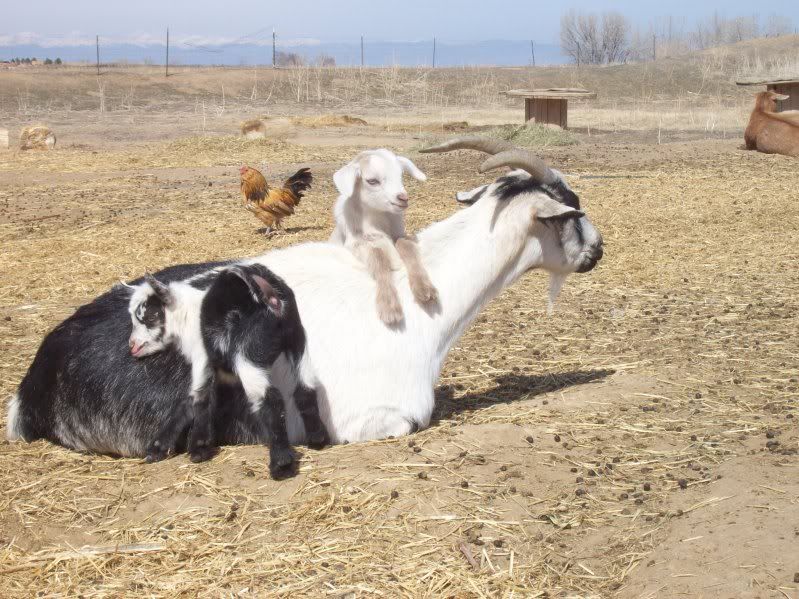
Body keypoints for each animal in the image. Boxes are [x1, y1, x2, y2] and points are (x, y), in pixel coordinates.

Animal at [126, 263, 328, 476]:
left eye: (148, 316)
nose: (132, 346)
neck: (187, 317)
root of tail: (269, 296)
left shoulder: (202, 357)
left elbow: (199, 399)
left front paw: (196, 449)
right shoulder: (221, 371)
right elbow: (196, 399)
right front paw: (166, 447)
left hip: (248, 355)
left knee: (270, 401)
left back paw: (281, 464)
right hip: (297, 341)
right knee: (305, 389)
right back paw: (317, 439)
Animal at [330, 149, 436, 325]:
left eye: (401, 176)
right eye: (372, 181)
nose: (403, 198)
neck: (377, 219)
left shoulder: (399, 234)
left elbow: (406, 245)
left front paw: (424, 289)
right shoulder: (356, 244)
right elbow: (378, 258)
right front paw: (389, 308)